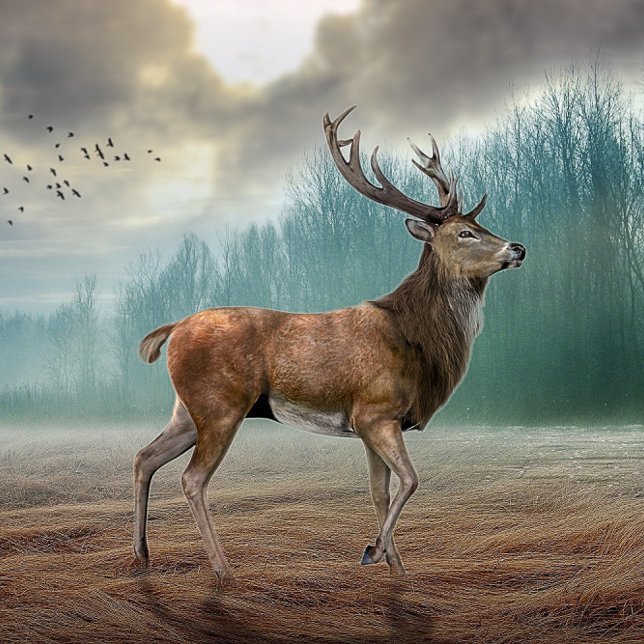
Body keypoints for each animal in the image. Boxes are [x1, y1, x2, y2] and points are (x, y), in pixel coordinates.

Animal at [132, 106, 526, 585]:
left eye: (480, 224)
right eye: (465, 233)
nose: (518, 248)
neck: (417, 341)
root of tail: (173, 329)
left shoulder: (371, 424)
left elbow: (380, 491)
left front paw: (394, 565)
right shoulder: (375, 411)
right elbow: (411, 481)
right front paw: (374, 551)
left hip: (188, 410)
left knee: (145, 456)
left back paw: (142, 555)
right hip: (220, 404)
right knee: (192, 479)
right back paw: (224, 571)